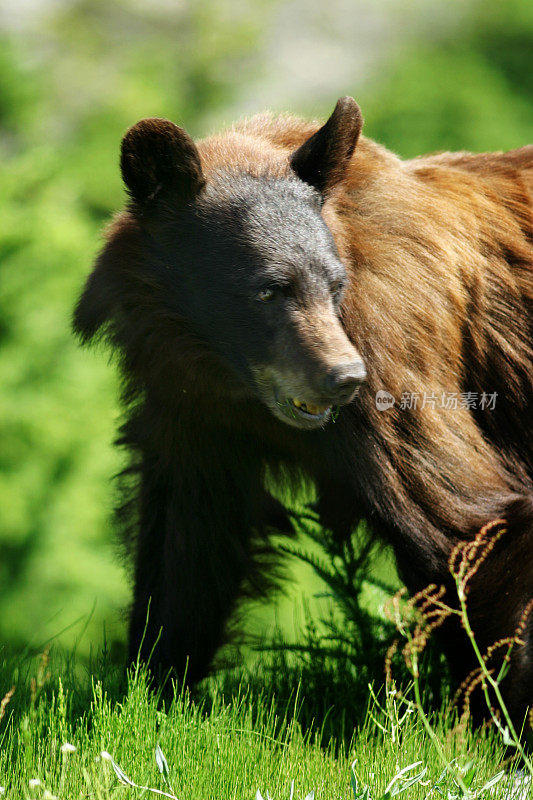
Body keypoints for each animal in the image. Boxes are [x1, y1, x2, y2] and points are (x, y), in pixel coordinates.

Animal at [74, 97, 532, 728]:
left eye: (334, 285)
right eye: (269, 289)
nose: (345, 379)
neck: (230, 377)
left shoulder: (397, 362)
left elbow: (462, 516)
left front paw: (493, 719)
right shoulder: (189, 410)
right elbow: (188, 541)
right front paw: (151, 692)